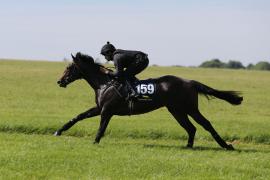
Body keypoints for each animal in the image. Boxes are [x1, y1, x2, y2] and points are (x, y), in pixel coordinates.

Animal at [54, 52, 243, 150]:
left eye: (69, 67)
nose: (60, 81)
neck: (104, 83)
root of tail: (190, 82)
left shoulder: (107, 110)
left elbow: (101, 127)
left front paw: (95, 142)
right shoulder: (99, 108)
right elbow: (79, 116)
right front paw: (58, 131)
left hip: (189, 108)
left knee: (205, 124)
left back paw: (226, 145)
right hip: (176, 110)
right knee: (191, 128)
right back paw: (188, 146)